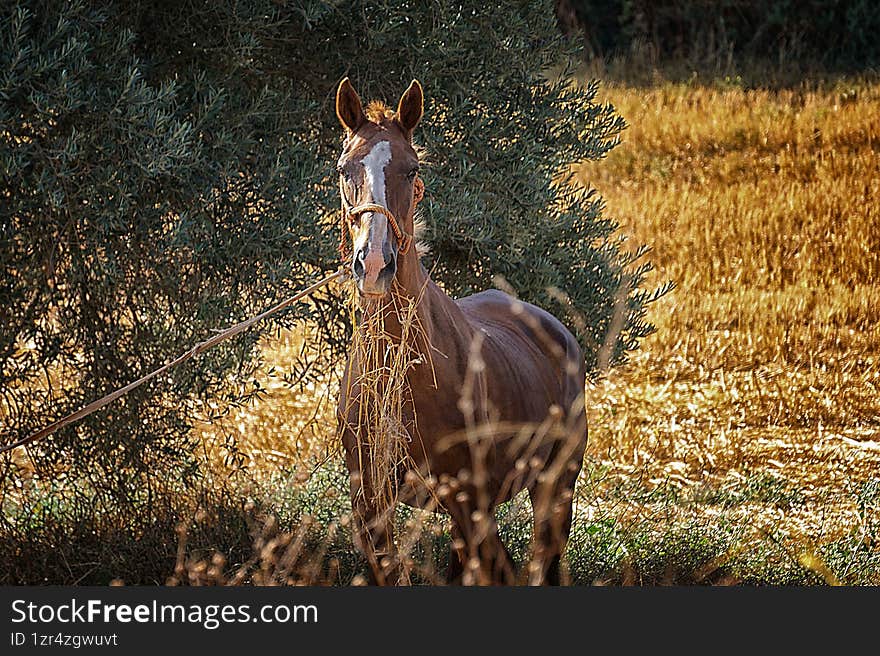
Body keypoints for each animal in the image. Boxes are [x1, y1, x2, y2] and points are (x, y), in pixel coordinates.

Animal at [334, 78, 587, 585]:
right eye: (345, 168)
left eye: (411, 169)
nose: (374, 263)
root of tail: (556, 330)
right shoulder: (372, 507)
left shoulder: (470, 504)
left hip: (553, 488)